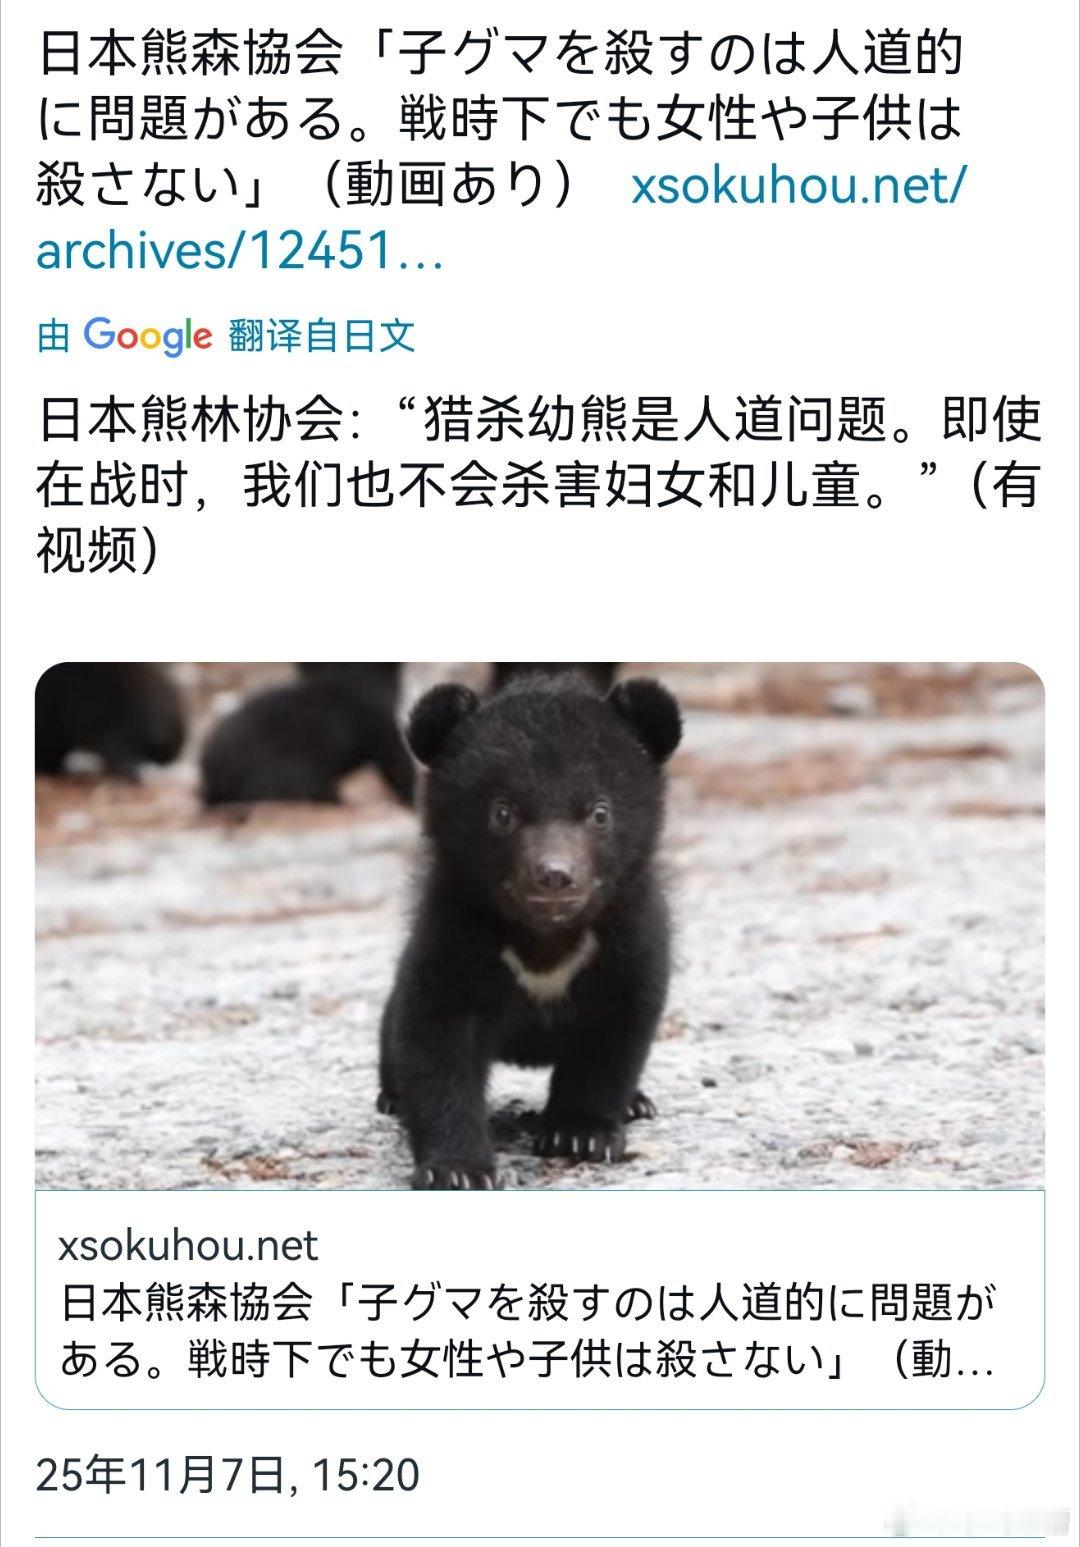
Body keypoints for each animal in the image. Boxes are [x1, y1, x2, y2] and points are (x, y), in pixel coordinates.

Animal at [378, 669, 682, 1188]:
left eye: (599, 812)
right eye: (503, 812)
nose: (555, 875)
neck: (545, 936)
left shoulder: (631, 935)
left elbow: (615, 1032)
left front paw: (580, 1136)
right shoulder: (454, 931)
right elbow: (436, 1039)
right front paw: (457, 1170)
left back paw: (637, 1103)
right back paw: (391, 1098)